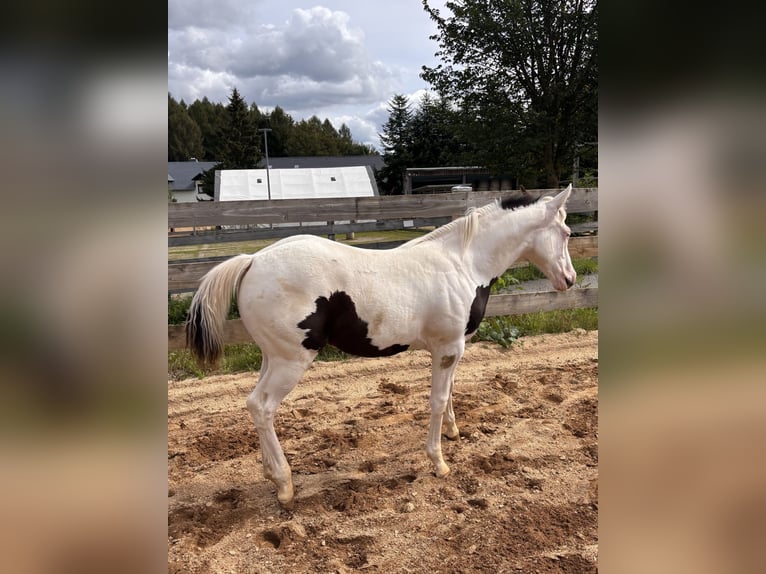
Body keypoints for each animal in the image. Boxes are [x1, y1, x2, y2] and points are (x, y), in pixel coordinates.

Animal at [186, 185, 576, 507]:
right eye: (567, 232)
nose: (570, 280)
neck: (463, 263)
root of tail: (252, 260)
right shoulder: (448, 349)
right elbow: (436, 401)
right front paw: (438, 462)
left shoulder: (452, 349)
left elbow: (450, 392)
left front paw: (452, 431)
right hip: (291, 361)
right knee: (262, 407)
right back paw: (284, 484)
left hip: (273, 356)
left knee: (253, 404)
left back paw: (270, 472)